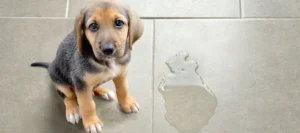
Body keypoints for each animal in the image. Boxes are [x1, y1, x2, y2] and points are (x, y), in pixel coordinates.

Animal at [30, 0, 143, 132]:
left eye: (119, 23)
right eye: (93, 26)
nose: (108, 50)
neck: (107, 62)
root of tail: (50, 65)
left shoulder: (121, 73)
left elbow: (123, 89)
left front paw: (127, 103)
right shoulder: (80, 82)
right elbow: (87, 105)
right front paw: (92, 123)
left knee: (92, 88)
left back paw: (103, 91)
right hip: (60, 82)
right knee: (68, 97)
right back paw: (73, 111)